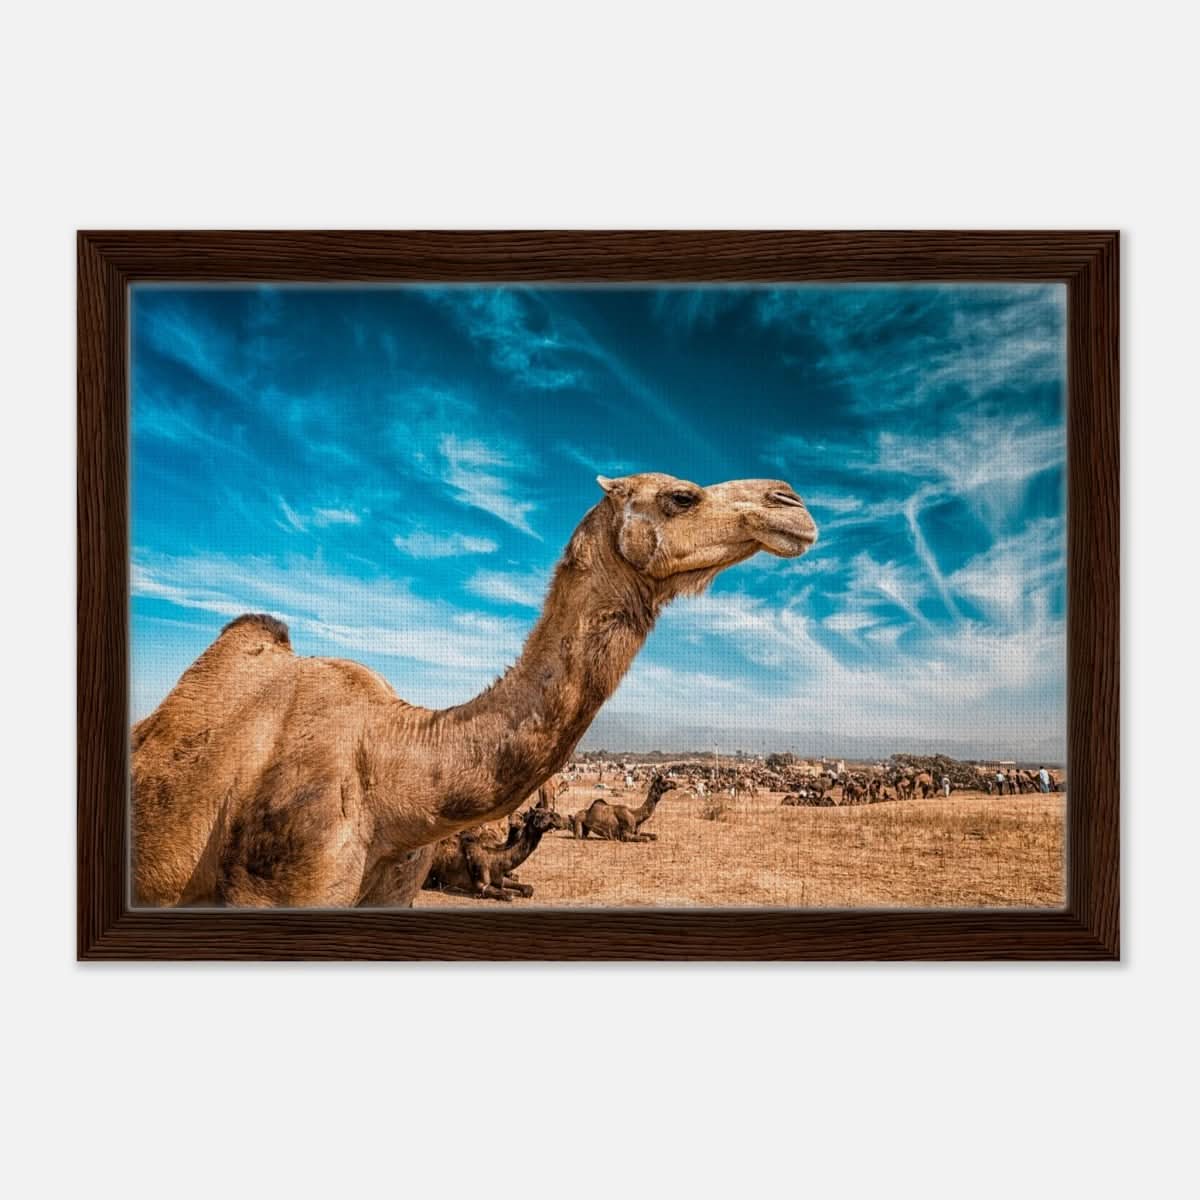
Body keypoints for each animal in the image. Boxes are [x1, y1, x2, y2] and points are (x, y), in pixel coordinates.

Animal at [423, 807, 559, 901]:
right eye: (539, 815)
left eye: (550, 813)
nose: (557, 819)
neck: (495, 857)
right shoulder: (481, 884)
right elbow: (508, 895)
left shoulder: (499, 877)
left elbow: (528, 888)